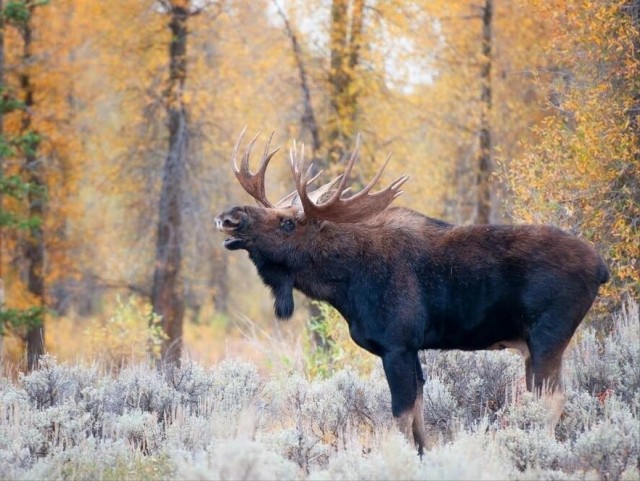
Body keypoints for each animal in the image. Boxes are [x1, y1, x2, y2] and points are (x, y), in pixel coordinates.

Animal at [215, 129, 610, 455]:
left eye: (287, 223)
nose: (230, 216)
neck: (345, 285)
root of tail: (601, 268)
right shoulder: (411, 348)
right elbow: (419, 420)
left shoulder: (397, 344)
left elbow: (401, 418)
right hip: (532, 345)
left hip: (548, 336)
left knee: (552, 400)